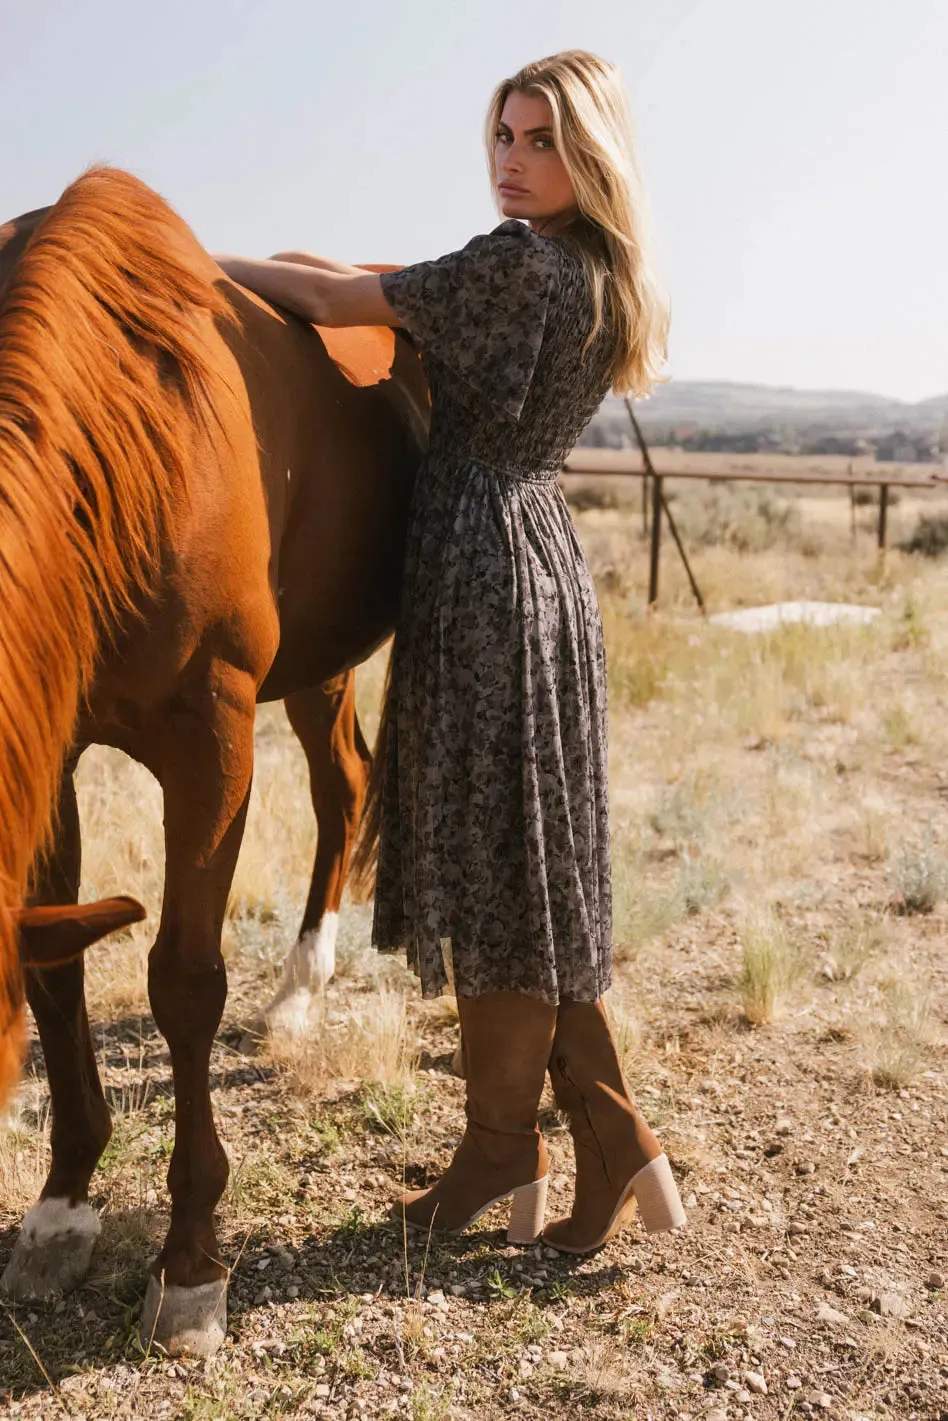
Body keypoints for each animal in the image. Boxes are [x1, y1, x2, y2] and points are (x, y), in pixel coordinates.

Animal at [0, 169, 426, 1352]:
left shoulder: (213, 740)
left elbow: (183, 982)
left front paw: (190, 1262)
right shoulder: (52, 748)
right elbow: (57, 966)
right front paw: (62, 1206)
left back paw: (304, 986)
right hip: (321, 662)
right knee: (346, 785)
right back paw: (300, 989)